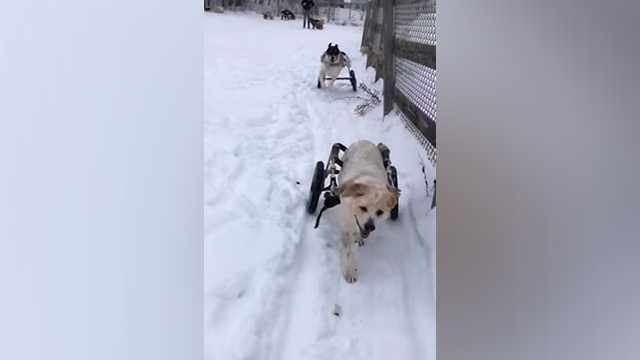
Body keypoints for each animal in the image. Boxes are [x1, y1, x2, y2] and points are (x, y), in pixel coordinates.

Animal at [338, 139, 398, 282]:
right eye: (363, 208)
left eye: (379, 212)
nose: (370, 226)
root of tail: (364, 140)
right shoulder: (346, 224)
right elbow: (349, 251)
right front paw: (350, 271)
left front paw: (359, 238)